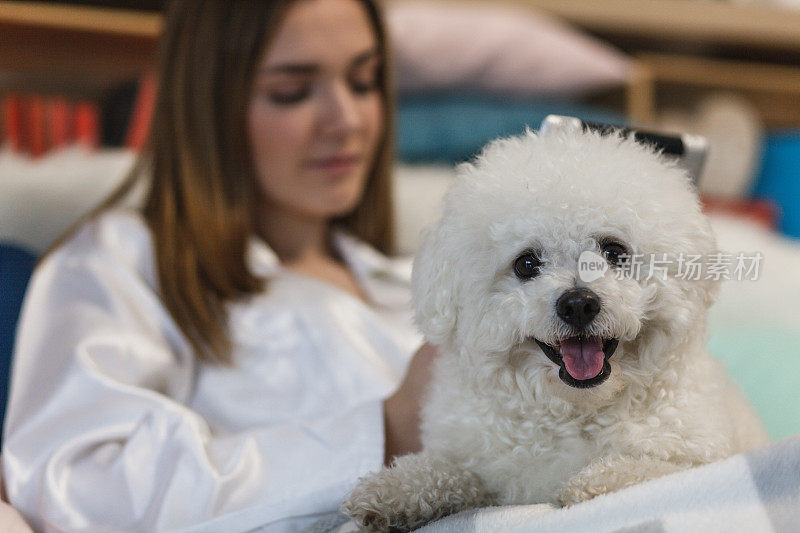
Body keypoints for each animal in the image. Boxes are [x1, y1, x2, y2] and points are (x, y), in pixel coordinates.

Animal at [340, 124, 764, 528]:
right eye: (526, 264)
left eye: (614, 251)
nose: (578, 304)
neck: (574, 411)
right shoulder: (485, 464)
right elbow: (453, 471)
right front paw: (391, 491)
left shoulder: (699, 452)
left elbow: (658, 471)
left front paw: (596, 481)